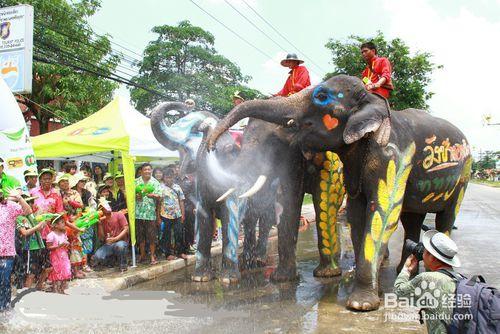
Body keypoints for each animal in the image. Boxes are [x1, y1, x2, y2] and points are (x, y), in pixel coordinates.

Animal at [205, 74, 470, 312]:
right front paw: (282, 280)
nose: (209, 146)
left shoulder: (391, 157)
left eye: (321, 96)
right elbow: (345, 212)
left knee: (445, 217)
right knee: (411, 219)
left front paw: (358, 302)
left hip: (464, 175)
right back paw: (399, 271)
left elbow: (379, 212)